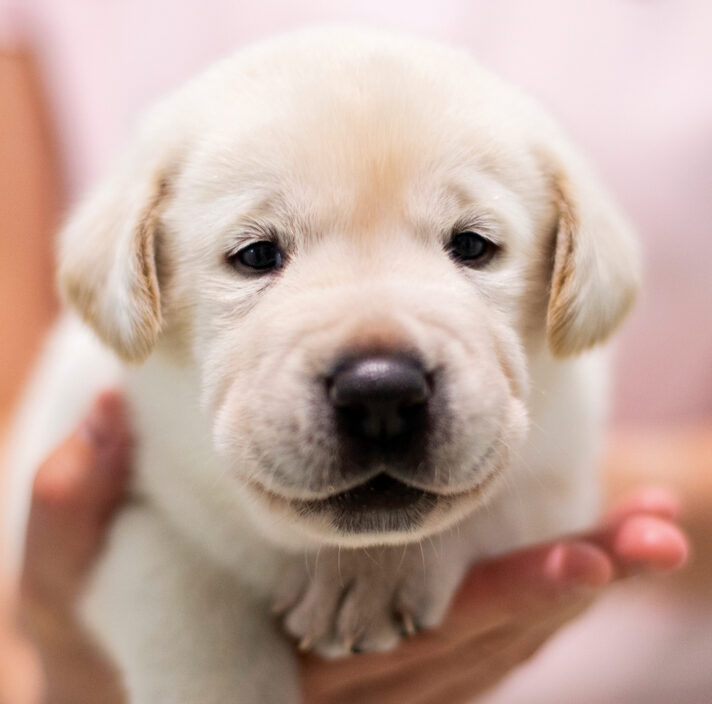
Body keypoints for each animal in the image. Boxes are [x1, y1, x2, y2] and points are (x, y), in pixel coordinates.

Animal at [5, 27, 639, 703]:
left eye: (473, 245)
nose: (381, 393)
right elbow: (176, 581)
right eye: (256, 255)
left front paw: (367, 576)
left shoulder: (564, 478)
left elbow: (488, 502)